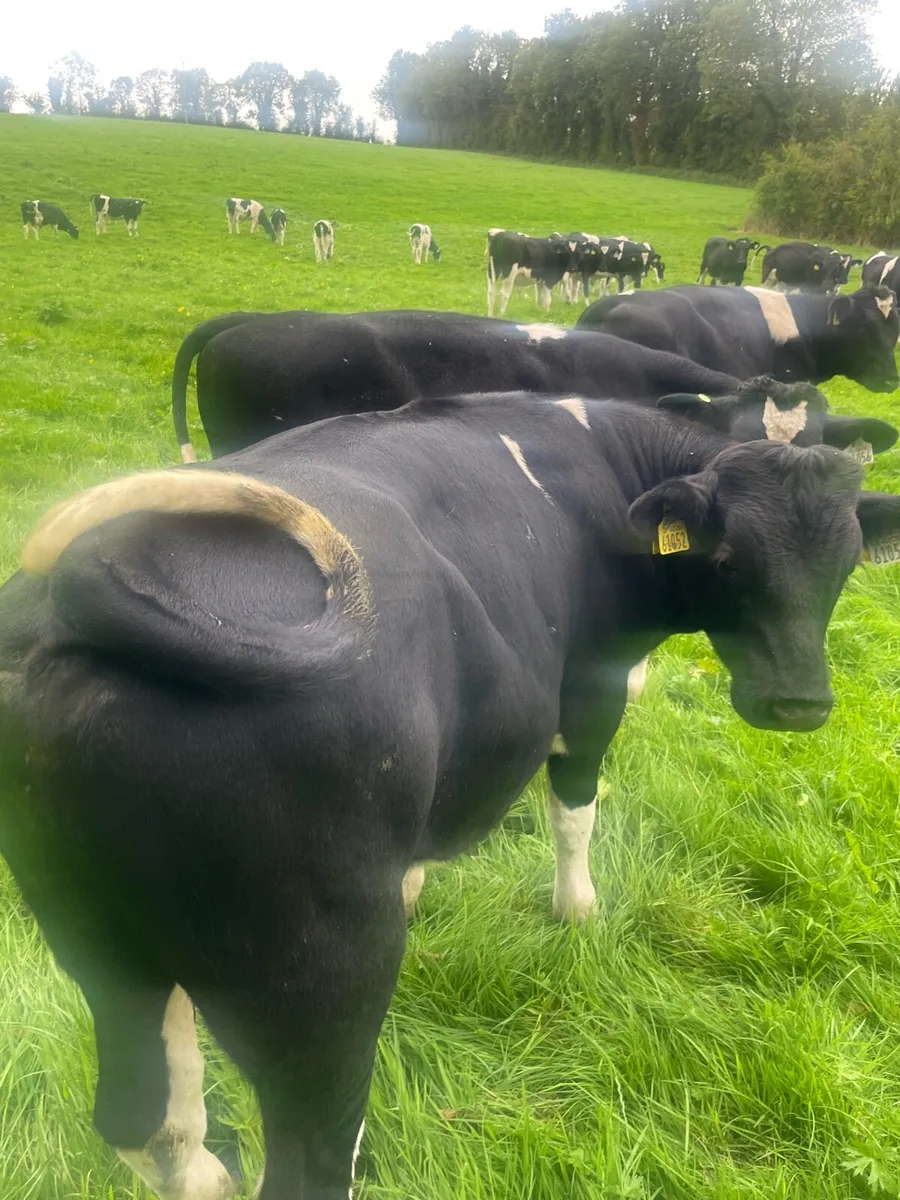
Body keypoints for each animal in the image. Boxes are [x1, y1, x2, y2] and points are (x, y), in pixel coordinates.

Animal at [3, 391, 900, 1199]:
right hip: (316, 965)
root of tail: (74, 594)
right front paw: (578, 911)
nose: (799, 703)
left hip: (101, 940)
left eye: (844, 561)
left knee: (145, 1118)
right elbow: (575, 810)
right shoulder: (591, 690)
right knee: (311, 1157)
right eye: (727, 558)